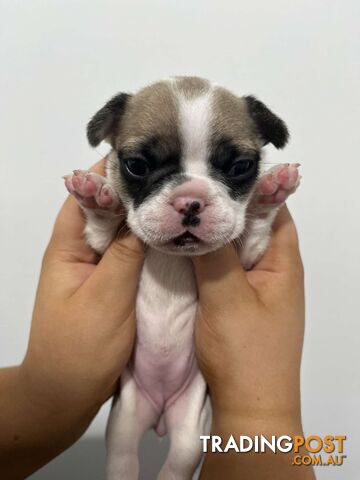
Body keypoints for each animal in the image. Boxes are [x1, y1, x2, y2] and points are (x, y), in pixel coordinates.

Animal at [65, 77, 300, 478]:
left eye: (240, 166)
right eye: (136, 165)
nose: (190, 200)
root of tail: (160, 417)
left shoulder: (248, 258)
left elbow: (253, 230)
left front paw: (268, 195)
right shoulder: (99, 248)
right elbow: (101, 228)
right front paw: (97, 197)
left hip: (192, 428)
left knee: (178, 463)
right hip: (124, 422)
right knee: (123, 458)